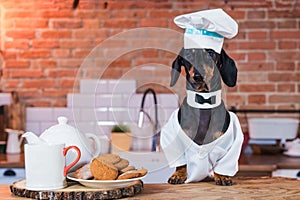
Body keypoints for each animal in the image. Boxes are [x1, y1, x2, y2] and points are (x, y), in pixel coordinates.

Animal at [166, 47, 241, 185]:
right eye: (188, 54)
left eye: (210, 53)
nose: (198, 76)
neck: (203, 102)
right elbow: (181, 163)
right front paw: (178, 175)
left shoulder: (225, 142)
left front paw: (222, 176)